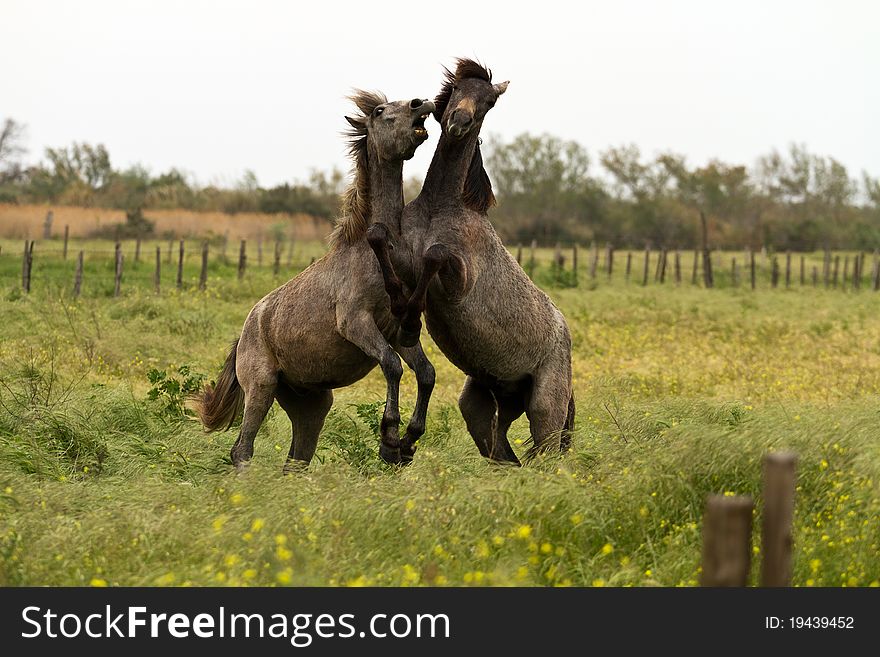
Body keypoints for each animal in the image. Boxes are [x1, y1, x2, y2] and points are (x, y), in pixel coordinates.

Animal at [368, 60, 576, 462]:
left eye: (489, 101)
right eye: (454, 91)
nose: (459, 121)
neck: (439, 210)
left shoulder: (458, 279)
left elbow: (434, 255)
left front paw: (410, 324)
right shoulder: (401, 255)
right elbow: (378, 237)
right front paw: (401, 310)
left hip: (546, 411)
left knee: (546, 458)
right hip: (480, 404)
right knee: (505, 457)